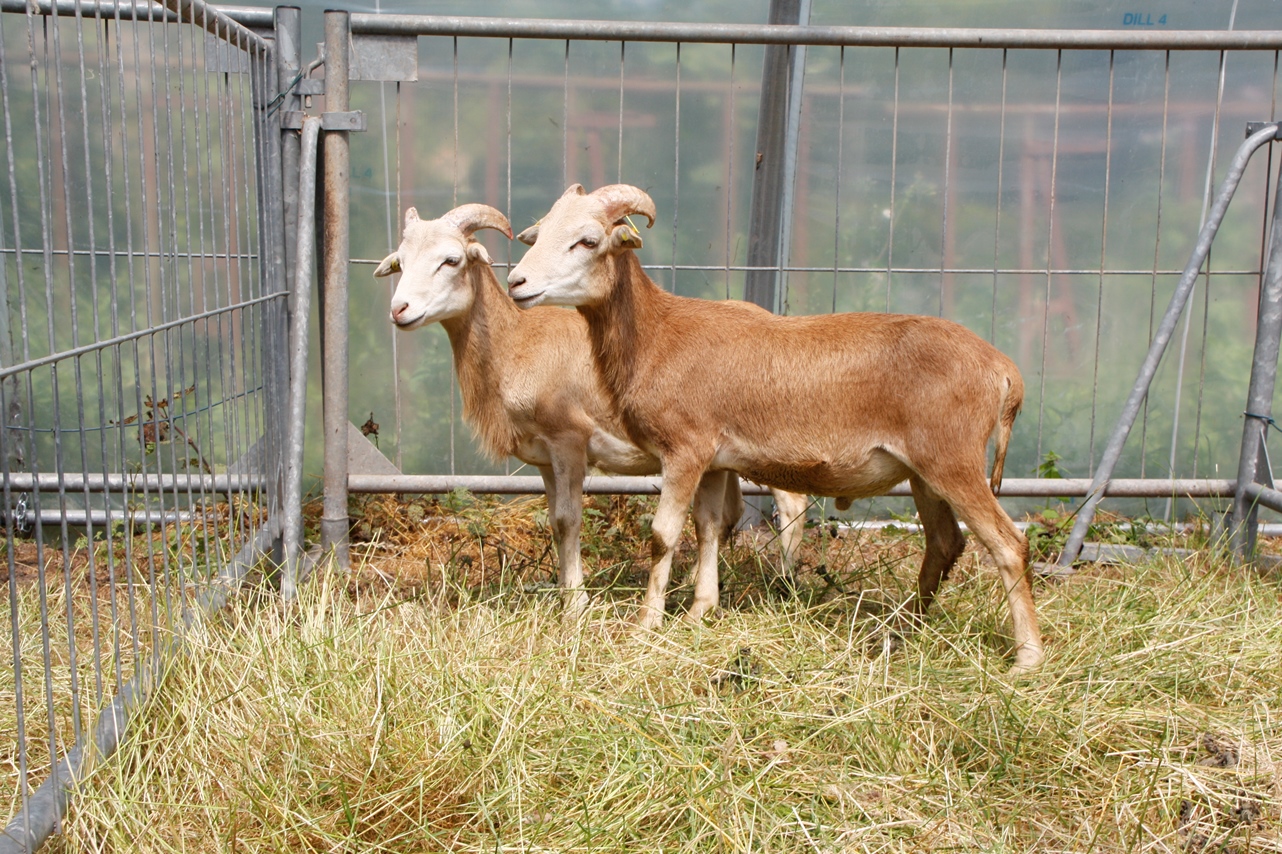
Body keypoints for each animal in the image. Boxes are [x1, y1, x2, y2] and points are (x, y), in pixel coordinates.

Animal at [377, 203, 807, 617]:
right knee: (727, 514)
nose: (399, 309)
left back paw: (783, 584)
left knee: (792, 503)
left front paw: (575, 605)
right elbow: (555, 522)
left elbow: (569, 521)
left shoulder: (568, 438)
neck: (515, 344)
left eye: (451, 260)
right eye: (401, 261)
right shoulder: (545, 458)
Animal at [506, 184, 1043, 674]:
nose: (517, 282)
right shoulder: (713, 459)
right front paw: (701, 612)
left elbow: (663, 535)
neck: (656, 334)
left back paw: (1027, 659)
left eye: (588, 241)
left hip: (953, 461)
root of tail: (1004, 370)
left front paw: (645, 626)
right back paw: (898, 631)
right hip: (923, 472)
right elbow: (708, 528)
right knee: (944, 543)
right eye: (540, 231)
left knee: (1007, 544)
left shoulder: (685, 449)